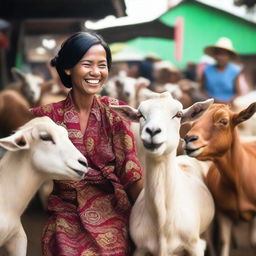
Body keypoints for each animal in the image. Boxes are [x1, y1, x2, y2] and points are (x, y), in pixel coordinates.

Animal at [110, 92, 214, 256]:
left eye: (178, 114)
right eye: (140, 115)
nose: (152, 131)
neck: (162, 222)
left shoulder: (194, 245)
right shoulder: (140, 248)